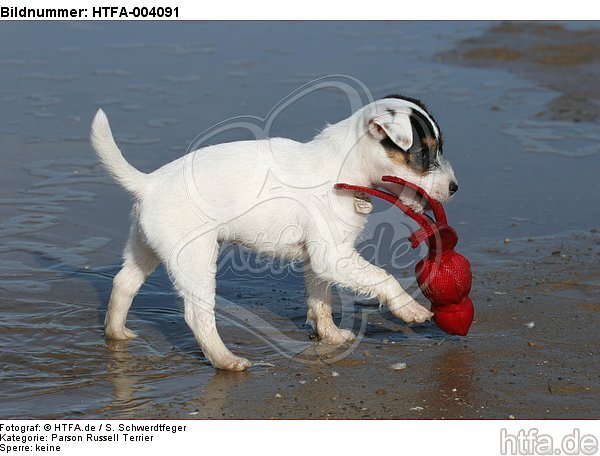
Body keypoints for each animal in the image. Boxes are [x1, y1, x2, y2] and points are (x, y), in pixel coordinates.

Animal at [91, 93, 460, 370]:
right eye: (423, 153)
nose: (455, 188)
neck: (344, 167)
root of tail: (149, 183)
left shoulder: (318, 259)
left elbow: (321, 299)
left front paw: (330, 336)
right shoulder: (332, 256)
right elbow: (383, 277)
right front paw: (410, 309)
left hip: (144, 246)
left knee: (123, 284)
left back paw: (116, 334)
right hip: (194, 259)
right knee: (197, 316)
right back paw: (226, 360)